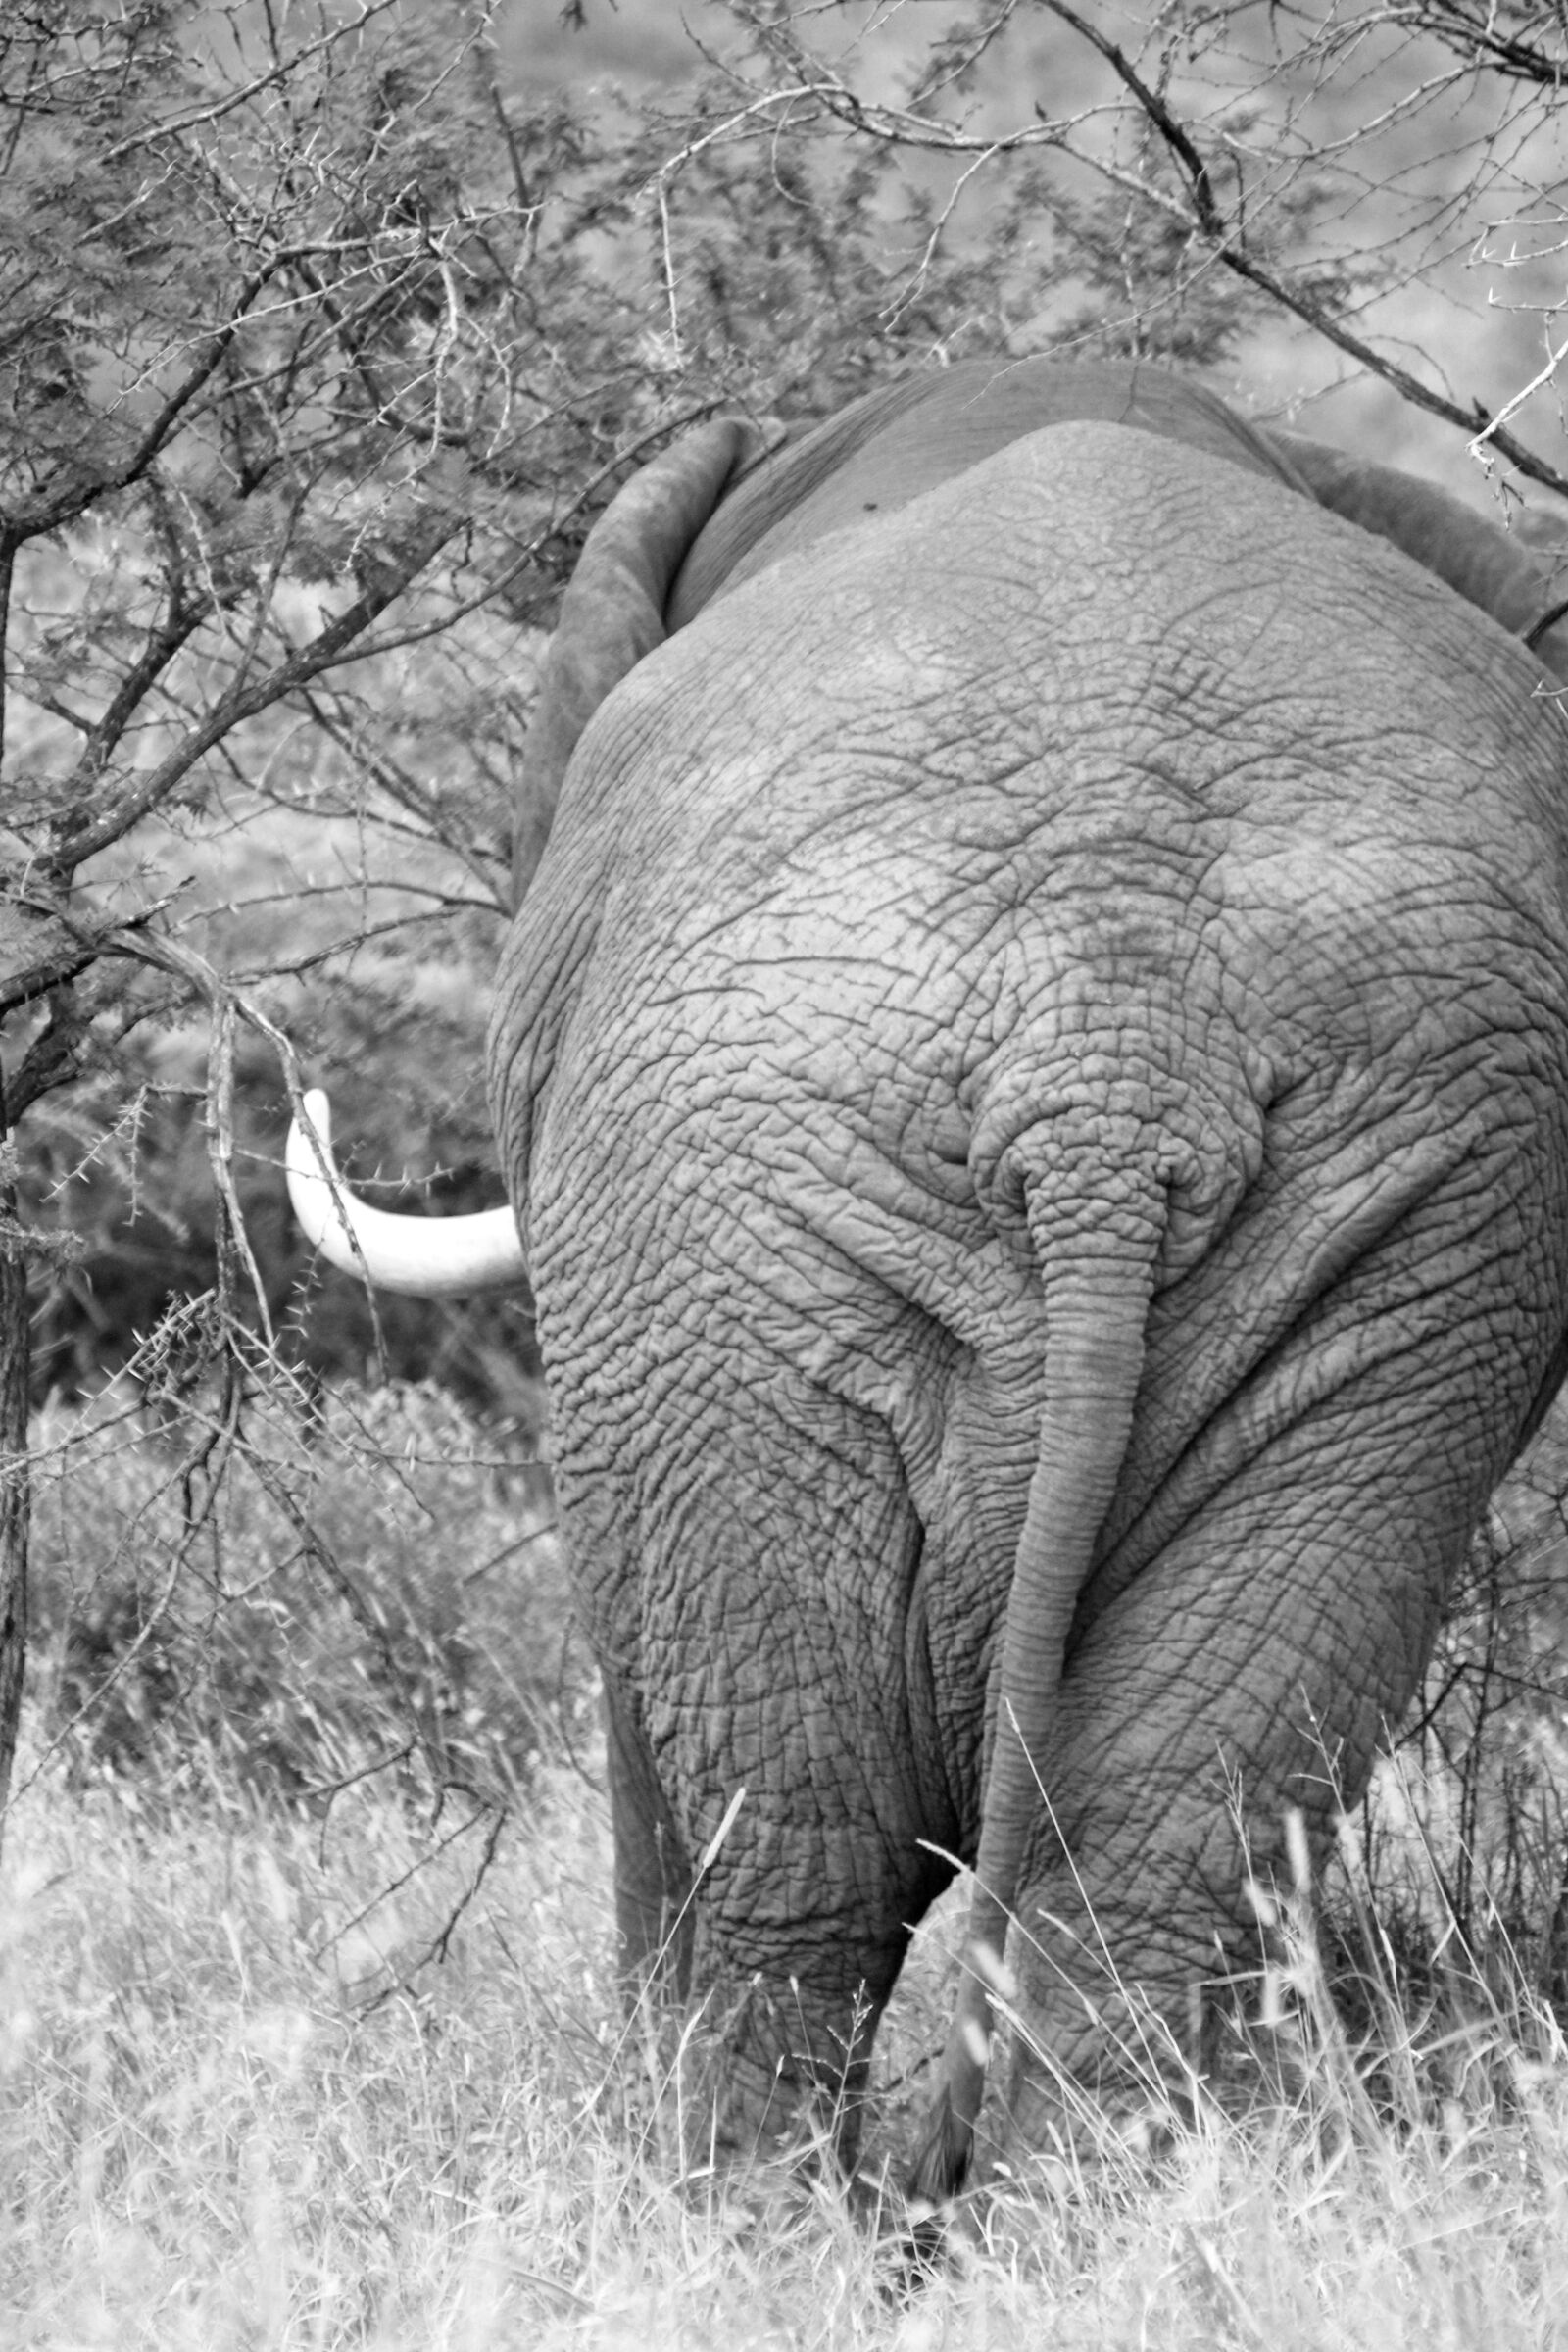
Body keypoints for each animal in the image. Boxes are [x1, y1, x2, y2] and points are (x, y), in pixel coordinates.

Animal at [287, 355, 1568, 2201]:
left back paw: (738, 2215)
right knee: (1157, 1834)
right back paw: (1070, 2218)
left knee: (789, 1837)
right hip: (1430, 1195)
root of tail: (1112, 1061)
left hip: (723, 1183)